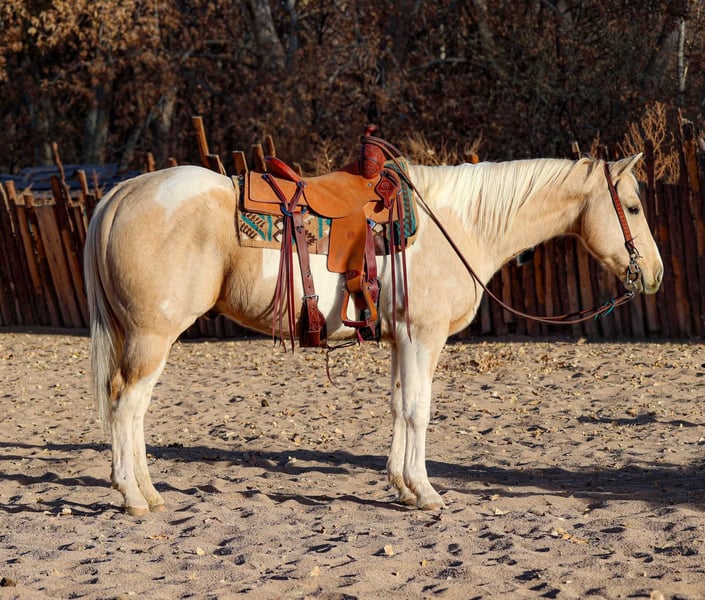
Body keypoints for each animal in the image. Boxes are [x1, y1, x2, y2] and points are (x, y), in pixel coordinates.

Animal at [84, 153, 663, 516]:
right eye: (633, 207)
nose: (654, 275)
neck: (458, 224)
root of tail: (122, 193)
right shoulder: (424, 336)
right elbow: (419, 409)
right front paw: (425, 492)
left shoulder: (401, 340)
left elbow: (398, 405)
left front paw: (401, 486)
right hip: (152, 337)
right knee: (127, 406)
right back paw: (134, 497)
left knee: (130, 408)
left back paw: (149, 492)